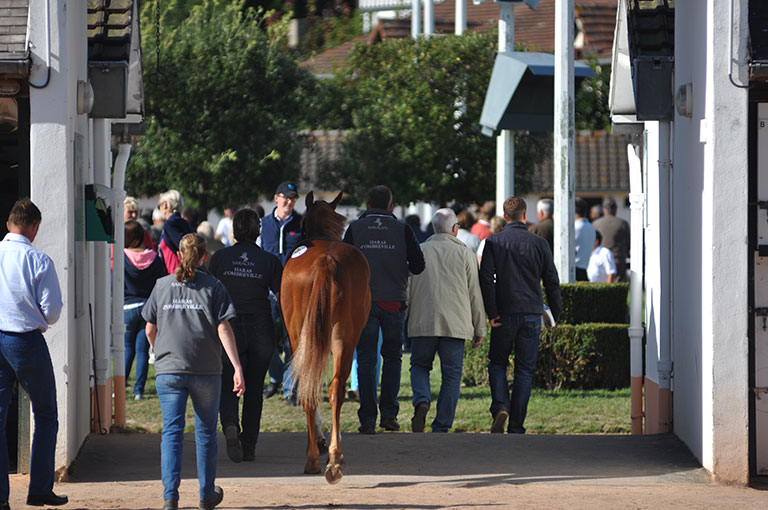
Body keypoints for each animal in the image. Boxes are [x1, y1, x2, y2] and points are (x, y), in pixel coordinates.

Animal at [280, 190, 371, 484]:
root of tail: (325, 261)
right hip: (344, 337)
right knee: (334, 389)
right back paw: (333, 458)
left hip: (302, 336)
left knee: (311, 390)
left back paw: (313, 459)